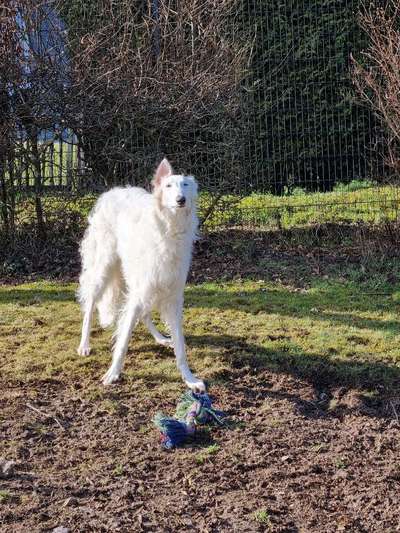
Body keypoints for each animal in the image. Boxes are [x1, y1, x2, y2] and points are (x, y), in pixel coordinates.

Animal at [77, 158, 205, 390]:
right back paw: (84, 345)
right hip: (104, 269)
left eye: (185, 185)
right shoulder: (140, 290)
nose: (181, 200)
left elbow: (180, 347)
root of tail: (113, 191)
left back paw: (161, 338)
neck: (168, 232)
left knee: (144, 314)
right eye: (168, 186)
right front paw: (113, 373)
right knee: (89, 306)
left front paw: (190, 379)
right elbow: (123, 339)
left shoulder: (173, 296)